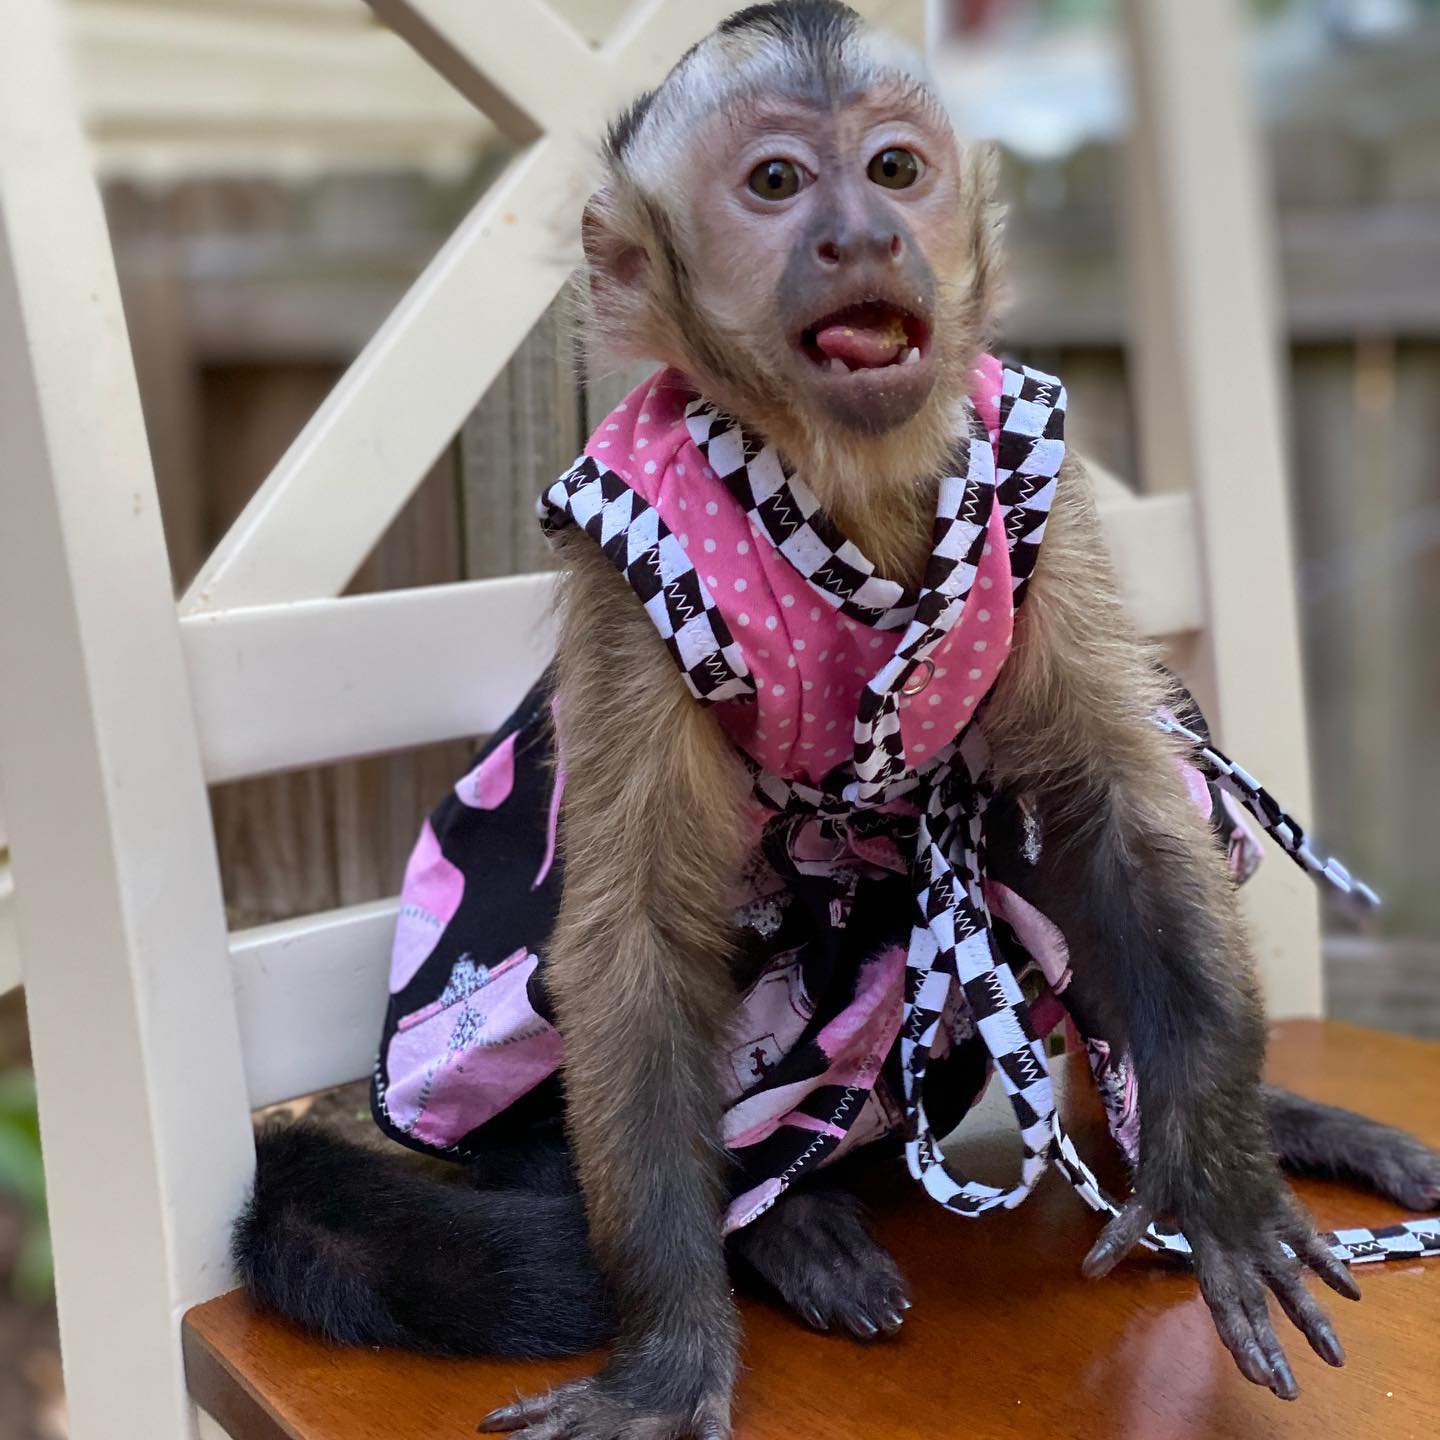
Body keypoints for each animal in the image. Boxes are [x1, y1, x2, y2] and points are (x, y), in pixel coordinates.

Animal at [232, 6, 1440, 1438]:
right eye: (776, 183)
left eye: (895, 170)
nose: (862, 236)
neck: (845, 480)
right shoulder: (626, 567)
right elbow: (636, 933)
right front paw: (672, 1350)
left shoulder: (1039, 482)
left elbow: (1118, 805)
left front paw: (1227, 1165)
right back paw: (783, 1227)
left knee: (1032, 823)